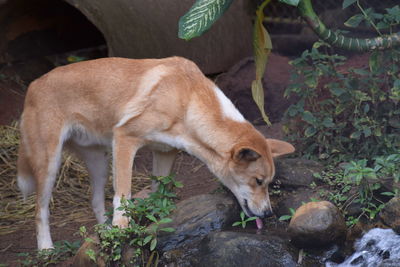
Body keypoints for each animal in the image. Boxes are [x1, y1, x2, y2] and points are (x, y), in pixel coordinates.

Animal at [16, 57, 294, 251]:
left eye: (268, 183)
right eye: (258, 181)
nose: (268, 214)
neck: (186, 101)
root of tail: (33, 85)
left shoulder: (165, 152)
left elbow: (159, 192)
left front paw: (157, 222)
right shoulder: (124, 139)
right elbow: (123, 196)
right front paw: (122, 229)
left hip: (99, 162)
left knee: (94, 200)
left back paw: (103, 232)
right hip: (50, 164)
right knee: (40, 211)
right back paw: (46, 249)